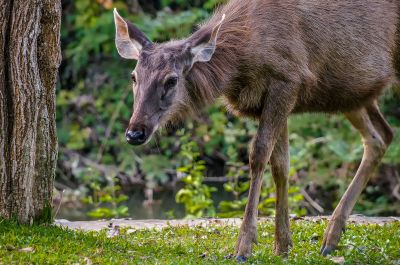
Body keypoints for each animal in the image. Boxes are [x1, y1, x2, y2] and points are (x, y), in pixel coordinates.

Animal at [111, 0, 396, 258]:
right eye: (134, 77)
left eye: (171, 80)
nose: (135, 132)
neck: (240, 65)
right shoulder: (278, 99)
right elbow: (281, 164)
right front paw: (283, 245)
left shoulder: (287, 81)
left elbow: (258, 155)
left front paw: (244, 246)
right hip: (351, 96)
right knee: (381, 136)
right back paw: (332, 238)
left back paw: (331, 235)